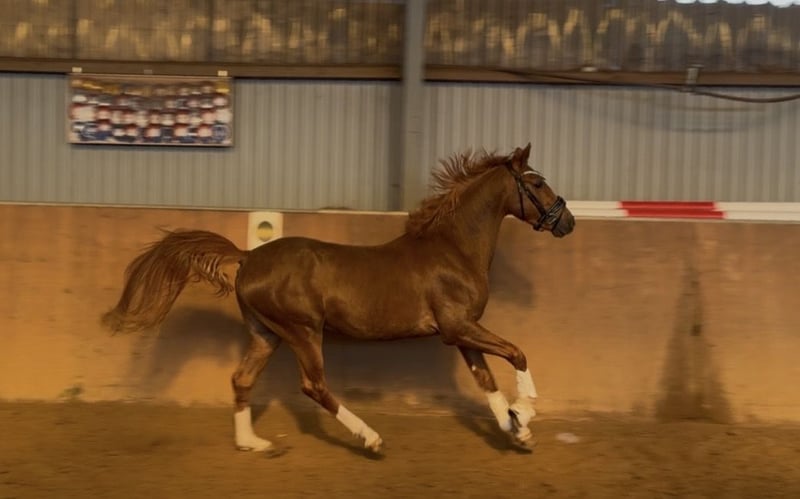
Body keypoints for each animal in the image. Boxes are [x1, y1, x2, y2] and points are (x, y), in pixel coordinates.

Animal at [101, 143, 575, 454]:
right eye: (536, 182)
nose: (567, 221)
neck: (452, 250)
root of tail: (248, 257)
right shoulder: (458, 327)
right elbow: (516, 354)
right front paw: (525, 413)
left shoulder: (460, 332)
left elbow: (487, 381)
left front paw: (517, 430)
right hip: (303, 330)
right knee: (314, 385)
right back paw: (370, 437)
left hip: (266, 334)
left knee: (242, 379)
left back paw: (253, 443)